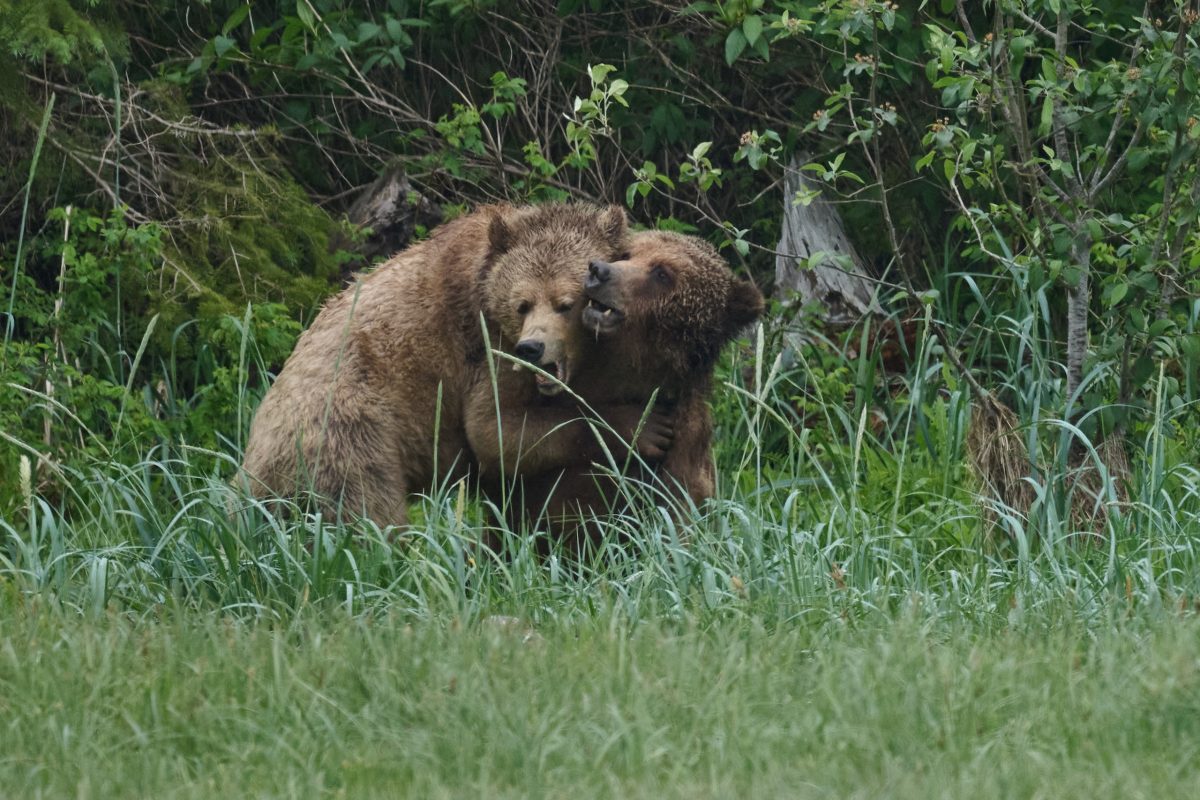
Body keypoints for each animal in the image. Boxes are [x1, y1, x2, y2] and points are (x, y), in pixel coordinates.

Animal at [240, 202, 635, 528]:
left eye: (565, 303)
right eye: (522, 304)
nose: (532, 349)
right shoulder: (483, 346)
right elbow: (494, 430)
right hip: (345, 433)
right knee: (363, 512)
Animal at [465, 229, 764, 554]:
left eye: (662, 272)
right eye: (627, 254)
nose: (599, 271)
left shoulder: (682, 452)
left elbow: (677, 518)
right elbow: (497, 430)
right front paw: (631, 428)